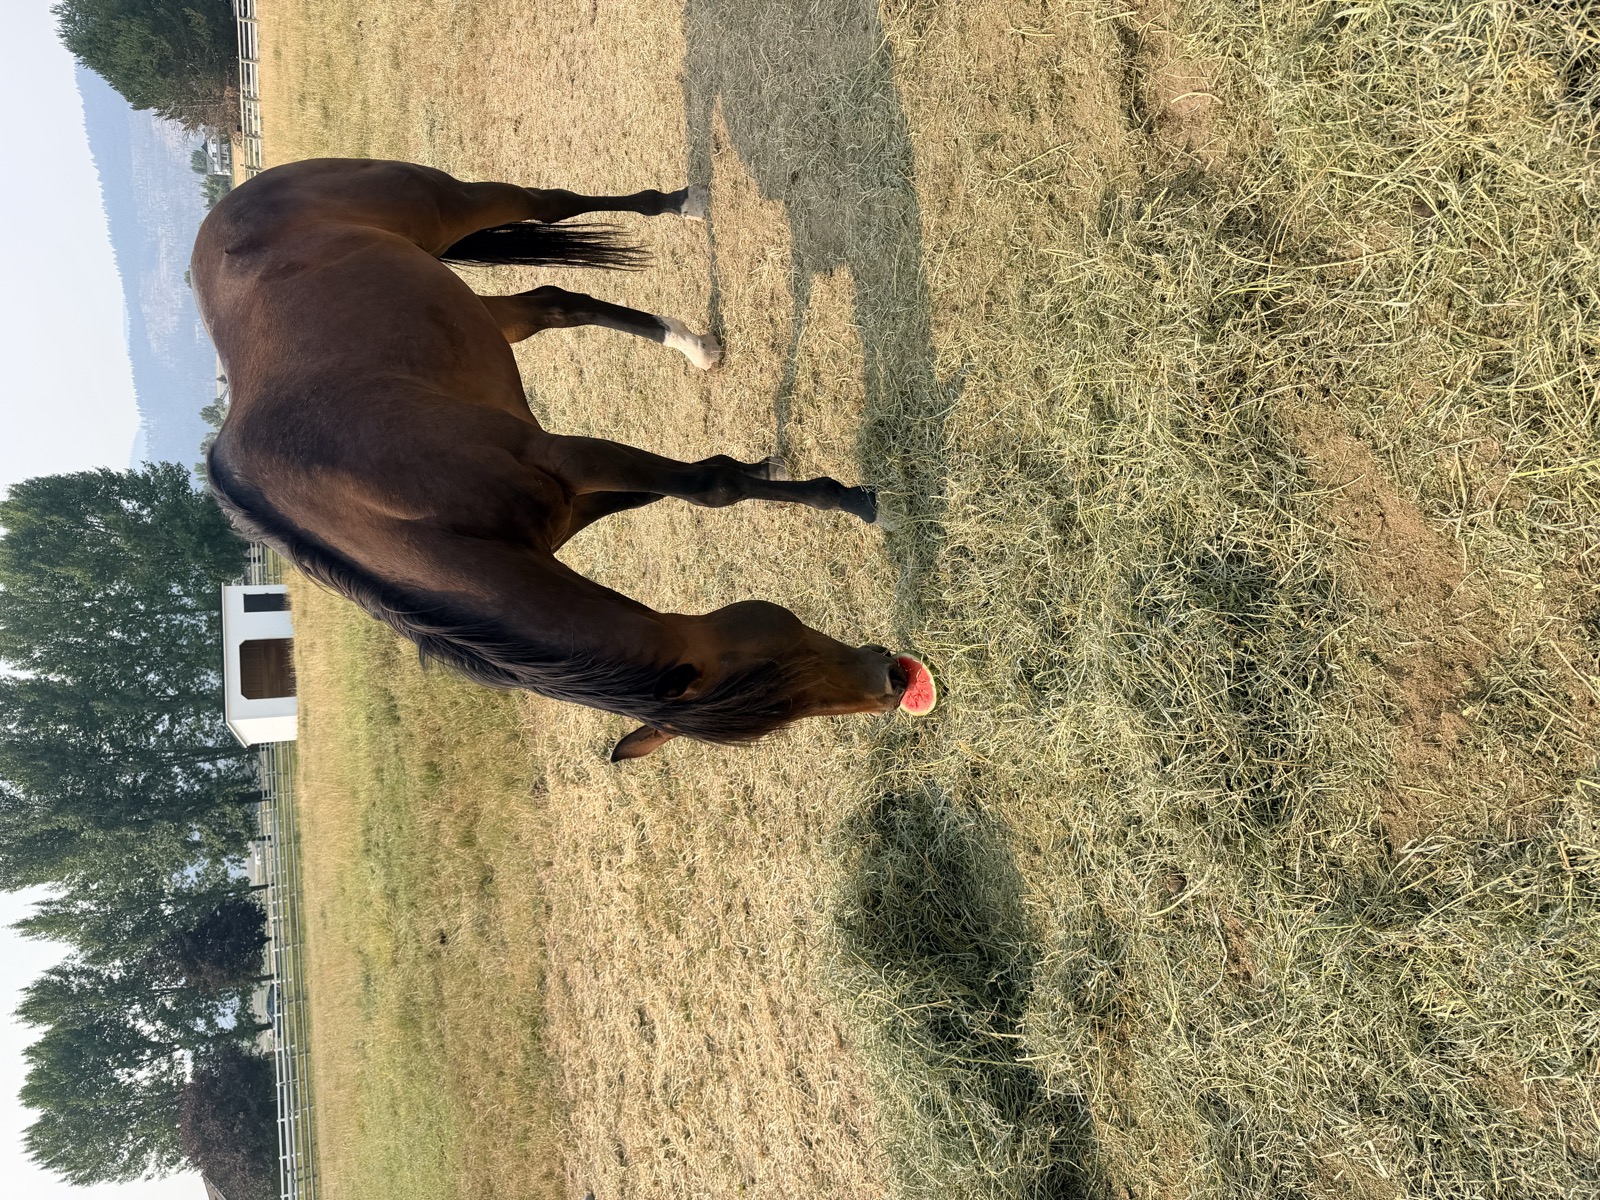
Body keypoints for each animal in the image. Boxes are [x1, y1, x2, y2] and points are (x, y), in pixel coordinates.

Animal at [191, 158, 916, 761]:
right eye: (782, 685)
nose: (890, 680)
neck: (393, 521)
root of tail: (231, 203)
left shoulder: (559, 461)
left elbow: (702, 485)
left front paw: (851, 500)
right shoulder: (572, 496)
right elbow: (704, 483)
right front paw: (808, 483)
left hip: (447, 201)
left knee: (548, 206)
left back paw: (680, 207)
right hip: (477, 308)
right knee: (553, 303)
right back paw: (691, 343)